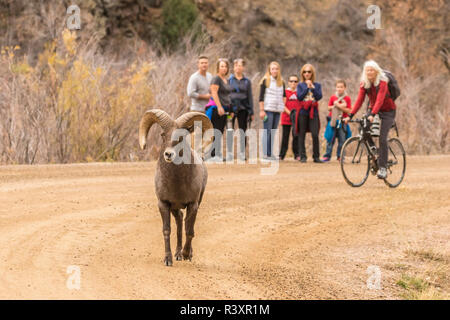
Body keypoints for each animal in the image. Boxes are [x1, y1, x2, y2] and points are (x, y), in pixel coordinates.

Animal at [139, 109, 213, 266]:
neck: (177, 182)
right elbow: (167, 230)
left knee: (185, 225)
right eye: (163, 135)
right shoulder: (164, 204)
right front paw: (168, 259)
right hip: (175, 208)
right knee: (179, 223)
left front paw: (186, 254)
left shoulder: (193, 205)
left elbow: (189, 231)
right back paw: (177, 254)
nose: (168, 154)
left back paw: (184, 254)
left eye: (182, 137)